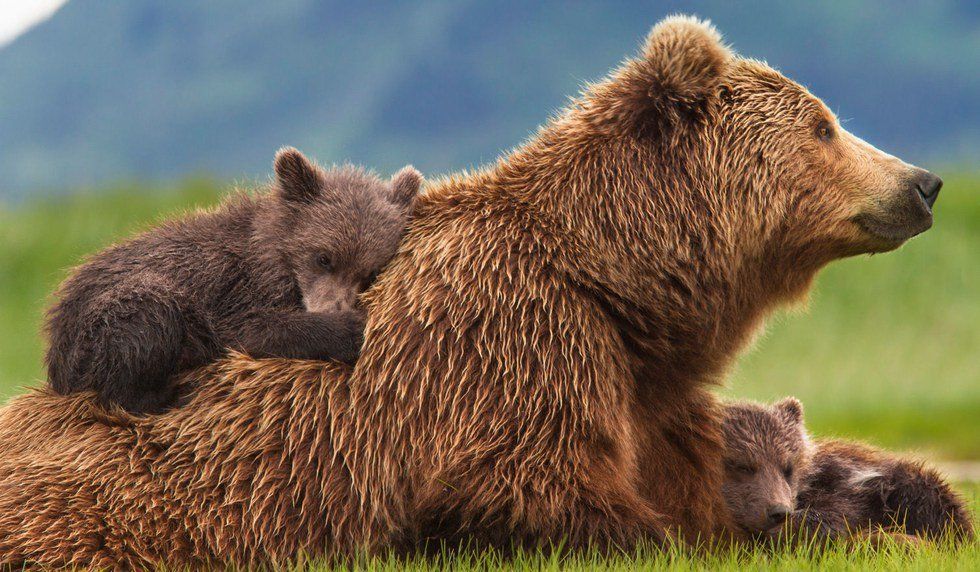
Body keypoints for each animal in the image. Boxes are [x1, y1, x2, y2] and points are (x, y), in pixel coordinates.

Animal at [44, 147, 422, 413]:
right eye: (324, 257)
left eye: (369, 272)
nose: (333, 307)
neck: (274, 256)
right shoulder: (234, 290)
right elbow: (253, 329)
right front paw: (350, 329)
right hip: (103, 324)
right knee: (147, 319)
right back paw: (171, 393)